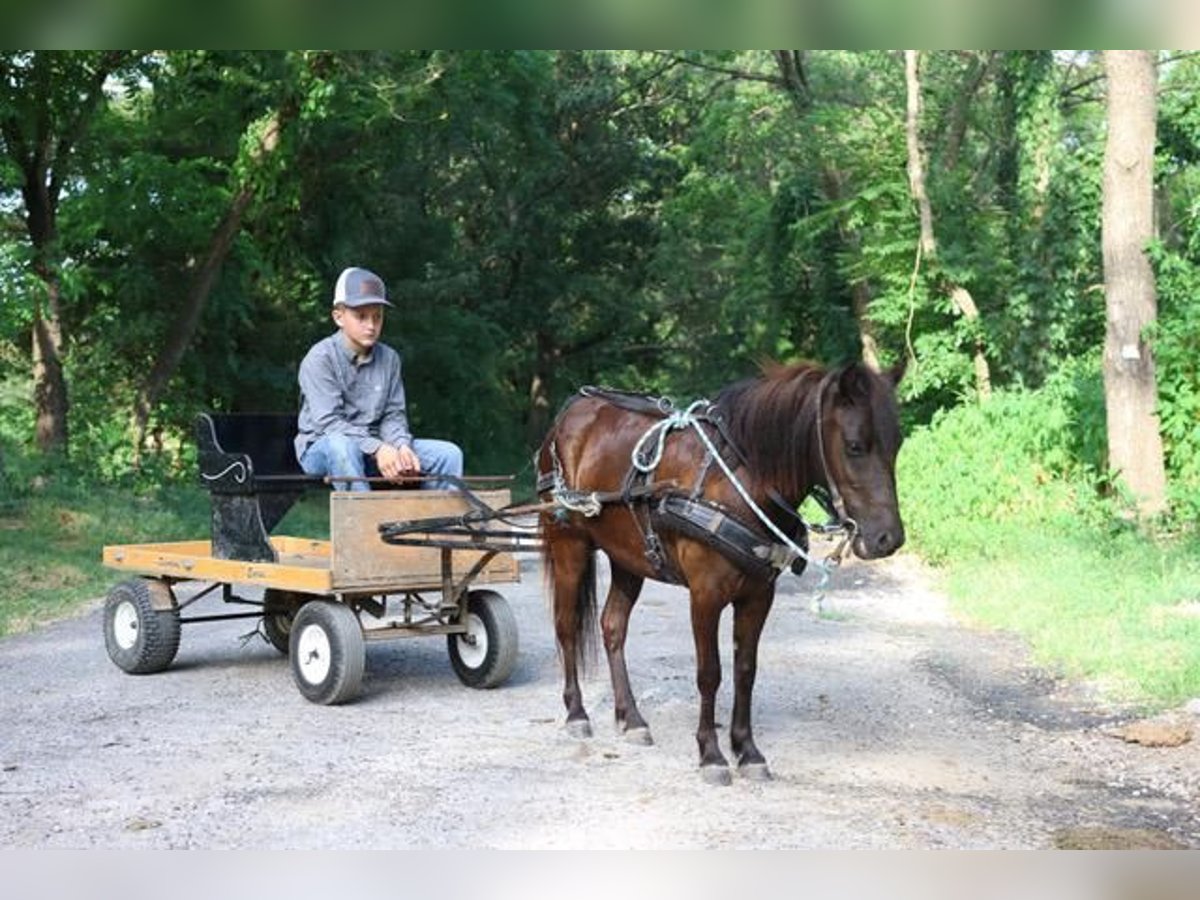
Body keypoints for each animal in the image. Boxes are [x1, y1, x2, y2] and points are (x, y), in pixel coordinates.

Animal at [540, 360, 902, 782]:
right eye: (854, 445)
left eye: (897, 445)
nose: (888, 539)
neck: (738, 485)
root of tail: (570, 413)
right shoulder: (706, 596)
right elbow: (710, 672)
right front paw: (711, 753)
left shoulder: (759, 595)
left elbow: (745, 670)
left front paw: (747, 750)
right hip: (569, 545)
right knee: (566, 626)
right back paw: (576, 713)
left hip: (628, 557)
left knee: (613, 627)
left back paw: (631, 719)